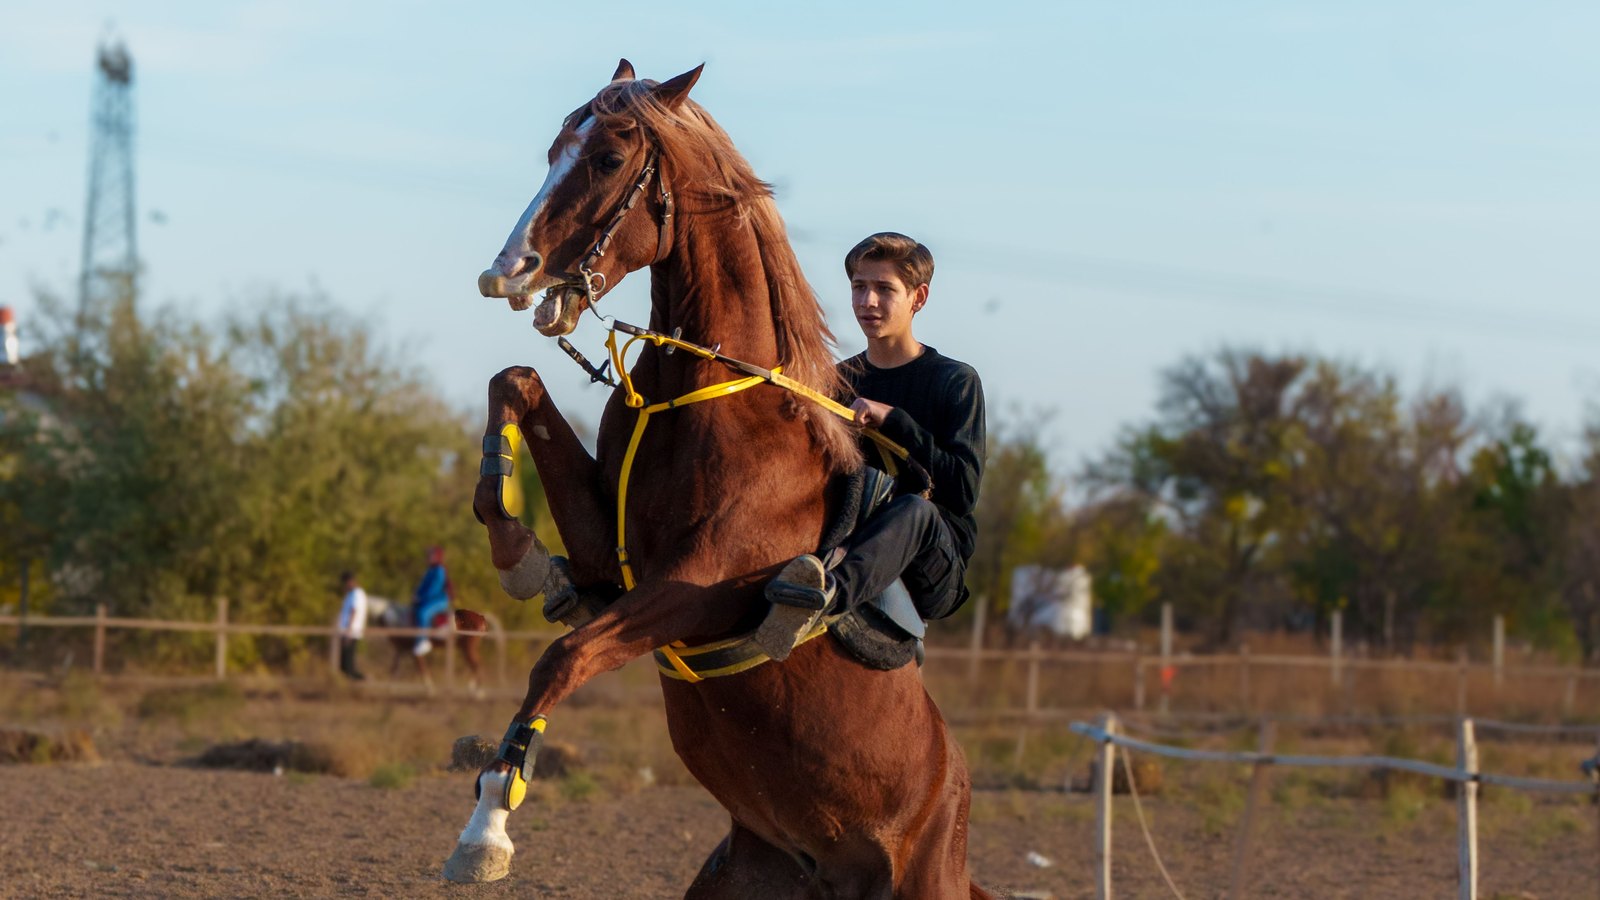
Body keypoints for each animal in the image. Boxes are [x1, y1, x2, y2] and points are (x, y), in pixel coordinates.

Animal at [443, 60, 988, 899]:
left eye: (608, 159)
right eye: (553, 152)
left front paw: (487, 827)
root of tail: (952, 793)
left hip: (921, 880)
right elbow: (517, 380)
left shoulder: (693, 587)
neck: (707, 397)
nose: (506, 273)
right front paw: (518, 553)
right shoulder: (614, 562)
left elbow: (561, 660)